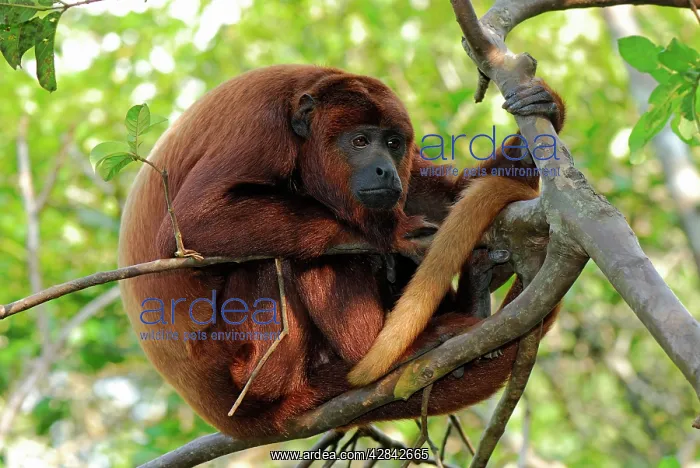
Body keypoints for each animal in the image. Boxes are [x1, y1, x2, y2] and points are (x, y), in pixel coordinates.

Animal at [118, 65, 565, 439]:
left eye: (393, 143)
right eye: (360, 141)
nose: (386, 169)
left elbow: (446, 198)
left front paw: (545, 112)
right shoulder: (260, 129)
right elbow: (194, 222)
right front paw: (388, 234)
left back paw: (474, 292)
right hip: (244, 365)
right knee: (295, 260)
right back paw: (390, 348)